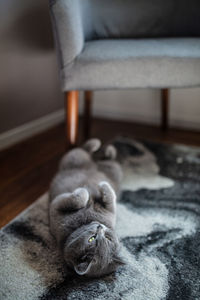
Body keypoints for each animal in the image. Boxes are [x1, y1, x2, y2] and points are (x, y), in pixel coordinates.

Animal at [48, 139, 123, 278]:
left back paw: (101, 147)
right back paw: (100, 146)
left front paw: (97, 187)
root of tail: (94, 164)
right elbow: (84, 197)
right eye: (92, 239)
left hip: (80, 160)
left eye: (107, 239)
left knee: (94, 155)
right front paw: (88, 191)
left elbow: (106, 197)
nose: (100, 227)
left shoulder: (55, 206)